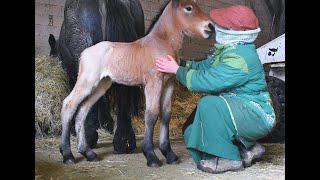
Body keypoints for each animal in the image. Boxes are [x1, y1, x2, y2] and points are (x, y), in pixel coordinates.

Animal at [60, 0, 214, 167]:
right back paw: (68, 155)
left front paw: (169, 154)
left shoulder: (168, 84)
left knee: (82, 109)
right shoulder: (153, 83)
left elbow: (166, 114)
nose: (210, 27)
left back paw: (87, 153)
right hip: (87, 82)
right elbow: (152, 115)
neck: (160, 43)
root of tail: (84, 53)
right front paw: (151, 156)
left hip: (101, 85)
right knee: (69, 105)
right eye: (188, 8)